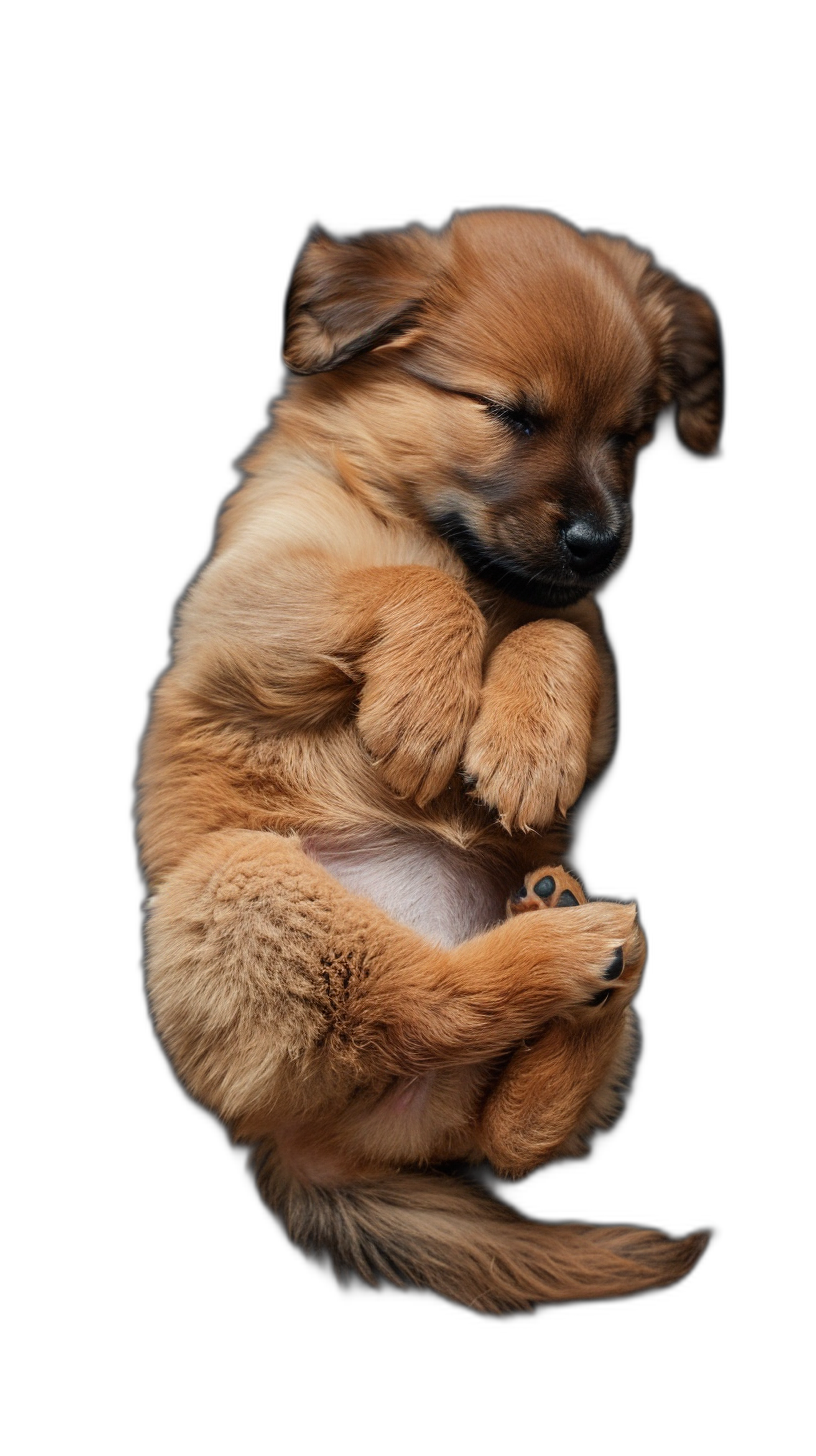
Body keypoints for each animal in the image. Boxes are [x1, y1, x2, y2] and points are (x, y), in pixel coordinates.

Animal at [138, 211, 719, 1316]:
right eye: (507, 414)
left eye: (629, 437)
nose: (599, 541)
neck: (436, 530)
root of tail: (307, 1146)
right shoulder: (240, 602)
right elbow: (413, 586)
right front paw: (425, 705)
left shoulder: (590, 655)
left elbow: (556, 628)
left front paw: (524, 747)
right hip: (245, 885)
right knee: (426, 1005)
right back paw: (564, 950)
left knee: (512, 1138)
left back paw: (579, 946)